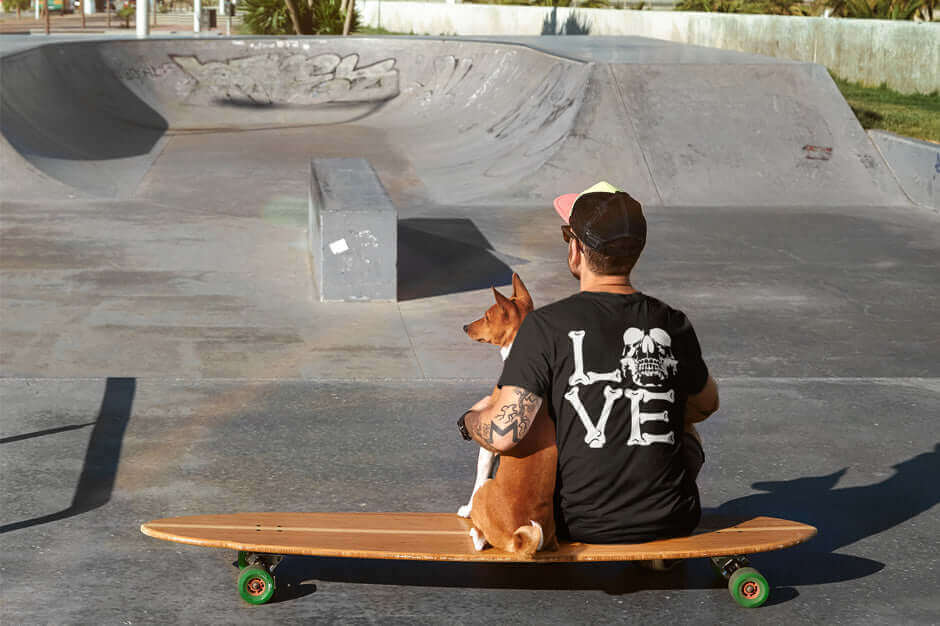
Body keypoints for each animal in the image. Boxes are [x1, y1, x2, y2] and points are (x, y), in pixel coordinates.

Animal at [458, 272, 560, 556]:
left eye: (486, 316)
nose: (464, 326)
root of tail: (519, 541)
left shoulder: (489, 443)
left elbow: (479, 475)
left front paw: (466, 510)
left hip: (486, 491)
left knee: (481, 537)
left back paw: (475, 531)